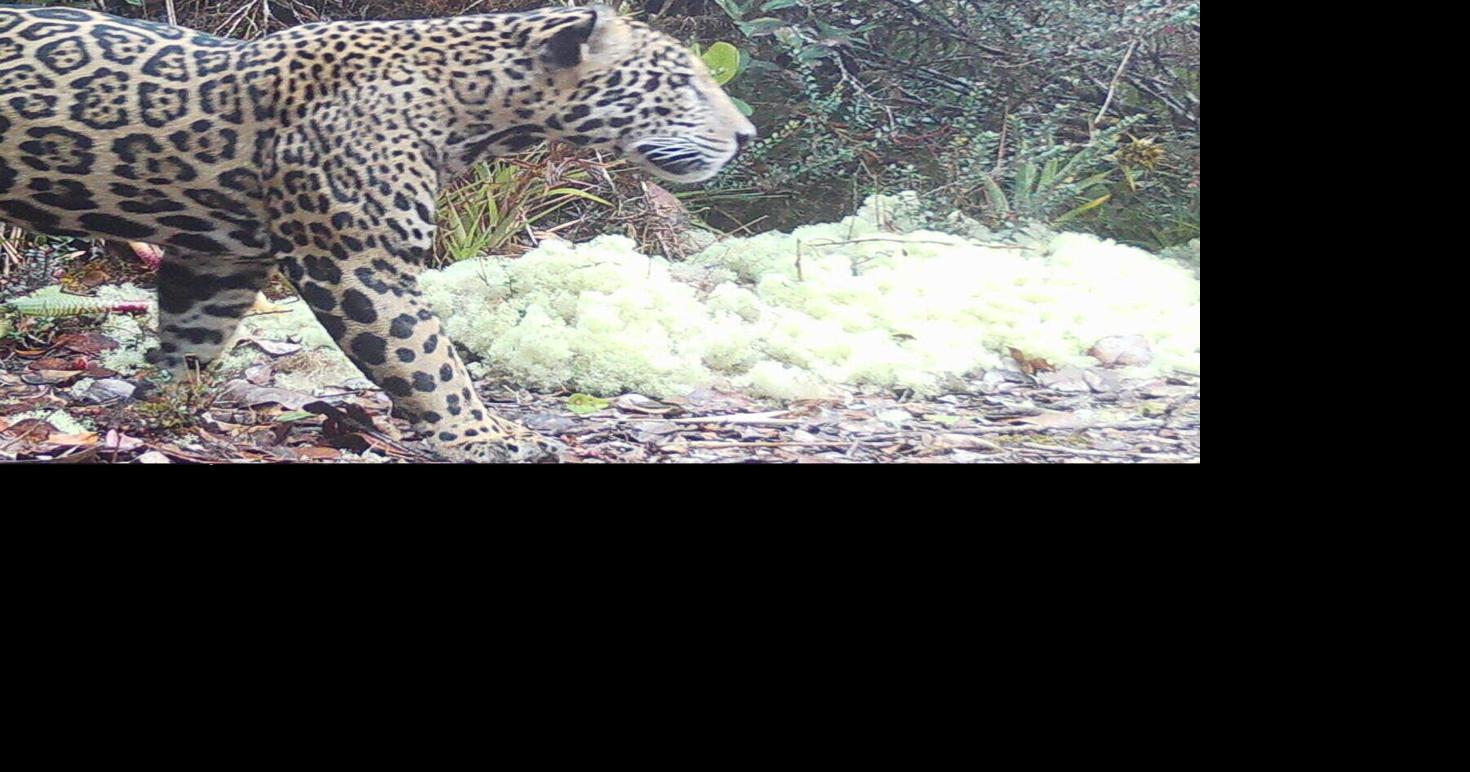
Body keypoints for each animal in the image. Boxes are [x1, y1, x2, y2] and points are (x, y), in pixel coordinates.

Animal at [0, 3, 755, 462]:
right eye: (682, 84)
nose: (747, 136)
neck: (477, 111)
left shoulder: (220, 256)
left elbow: (196, 334)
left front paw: (163, 407)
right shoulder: (358, 260)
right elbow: (430, 363)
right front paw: (483, 435)